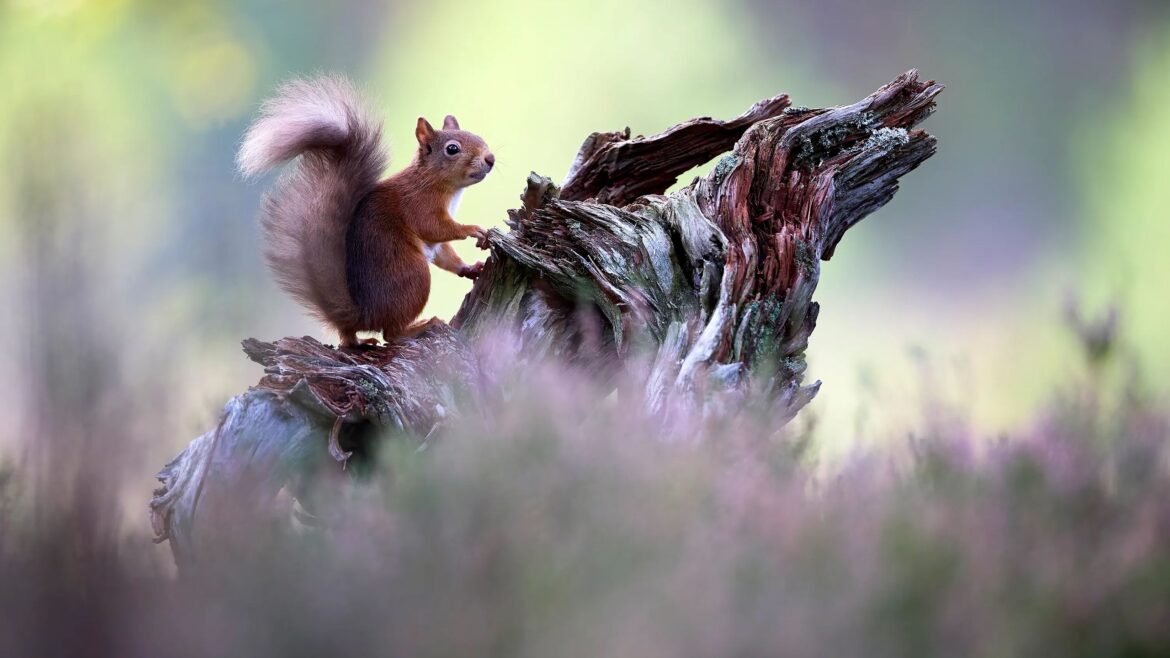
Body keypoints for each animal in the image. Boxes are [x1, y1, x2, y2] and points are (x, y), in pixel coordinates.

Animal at [236, 75, 494, 347]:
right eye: (452, 149)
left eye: (477, 136)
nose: (490, 159)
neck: (435, 181)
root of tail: (363, 313)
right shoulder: (419, 204)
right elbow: (435, 227)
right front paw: (471, 229)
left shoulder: (436, 239)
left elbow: (445, 254)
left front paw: (470, 268)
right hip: (413, 276)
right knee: (391, 333)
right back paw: (422, 326)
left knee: (351, 339)